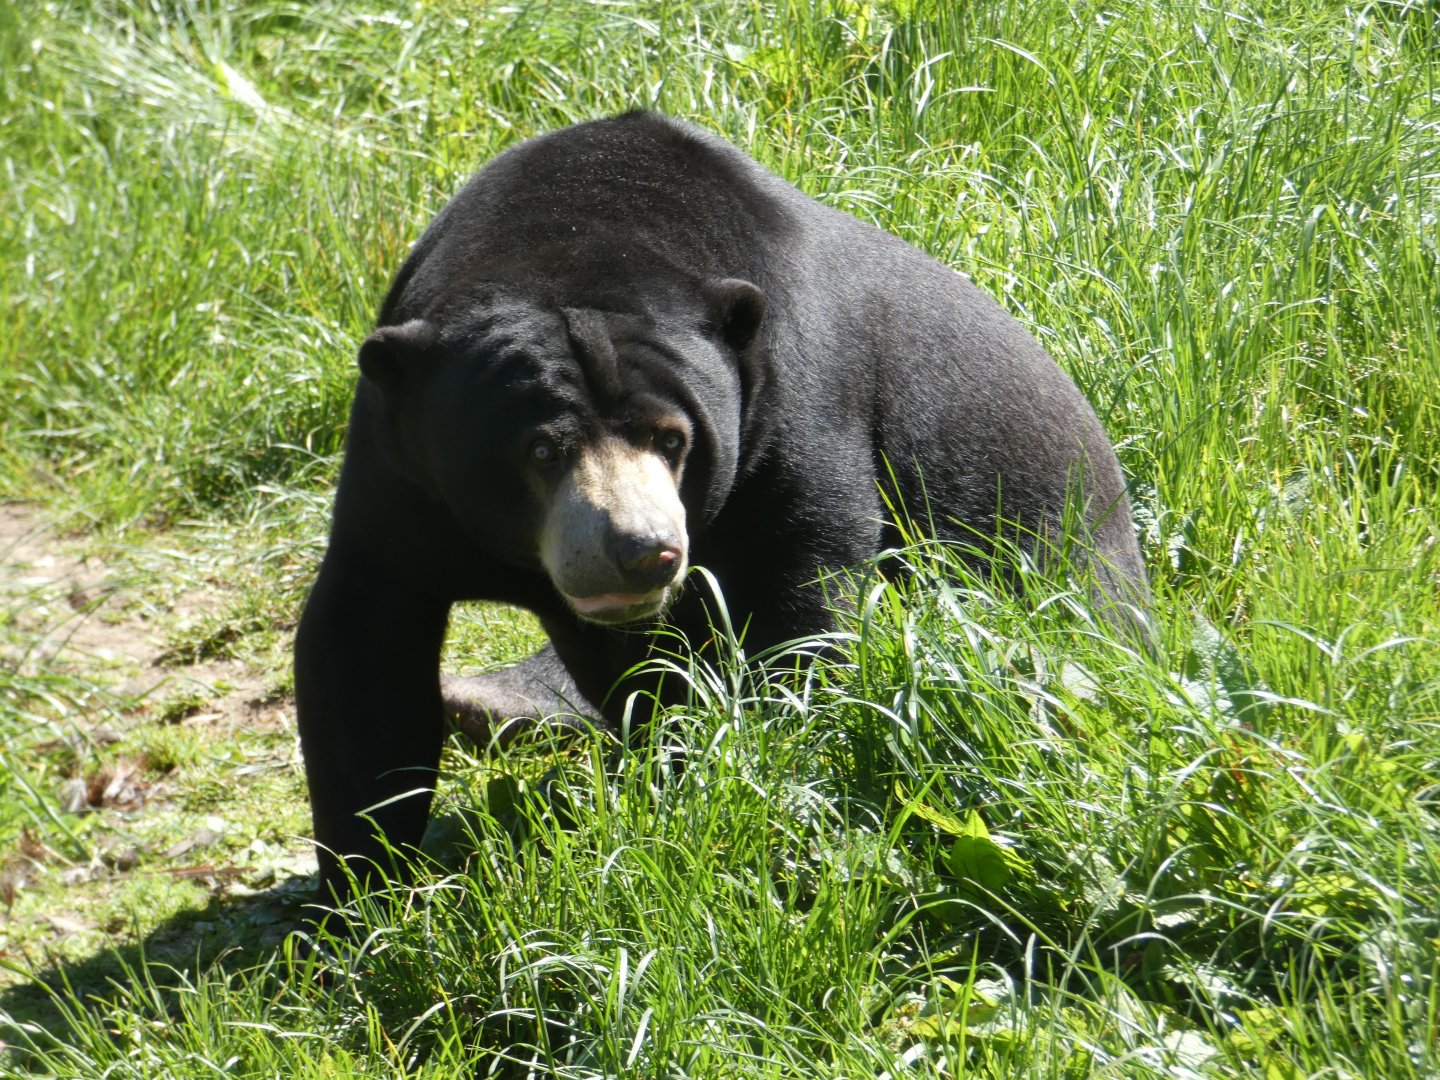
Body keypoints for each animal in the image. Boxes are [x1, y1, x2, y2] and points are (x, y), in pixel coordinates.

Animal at [294, 110, 1148, 907]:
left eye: (672, 439)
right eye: (540, 451)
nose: (642, 551)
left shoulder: (796, 403)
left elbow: (799, 597)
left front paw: (747, 782)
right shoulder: (402, 470)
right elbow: (365, 642)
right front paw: (362, 900)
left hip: (1052, 562)